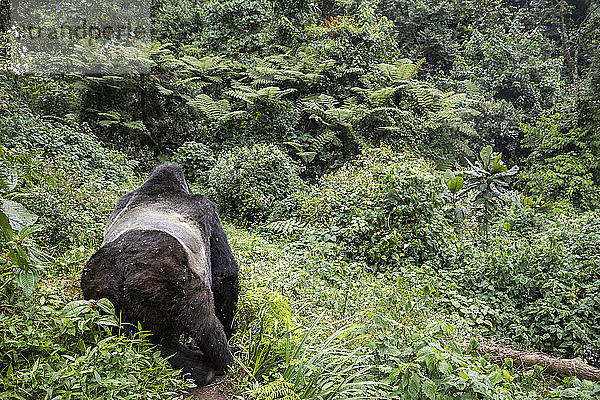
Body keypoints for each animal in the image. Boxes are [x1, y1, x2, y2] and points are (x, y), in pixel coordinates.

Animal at [80, 162, 239, 384]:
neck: (162, 189)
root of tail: (123, 270)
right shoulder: (206, 207)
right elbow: (224, 275)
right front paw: (229, 330)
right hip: (165, 281)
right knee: (203, 320)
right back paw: (223, 361)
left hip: (102, 295)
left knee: (147, 339)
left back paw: (195, 366)